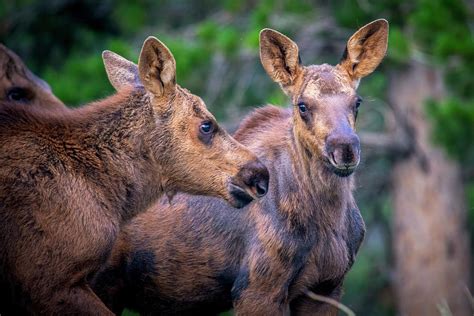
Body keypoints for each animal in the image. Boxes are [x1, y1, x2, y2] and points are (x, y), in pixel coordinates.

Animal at [92, 19, 388, 316]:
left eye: (357, 102)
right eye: (302, 106)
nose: (345, 149)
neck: (327, 218)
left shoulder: (328, 287)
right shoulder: (258, 288)